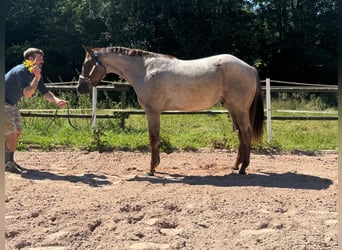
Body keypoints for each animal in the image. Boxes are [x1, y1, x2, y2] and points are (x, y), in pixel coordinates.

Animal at [77, 46, 264, 176]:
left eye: (87, 65)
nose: (80, 88)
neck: (145, 70)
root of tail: (249, 68)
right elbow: (156, 138)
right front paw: (156, 165)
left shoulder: (152, 111)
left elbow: (153, 138)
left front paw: (151, 169)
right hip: (232, 108)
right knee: (240, 133)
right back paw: (236, 166)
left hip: (240, 109)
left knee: (246, 132)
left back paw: (243, 168)